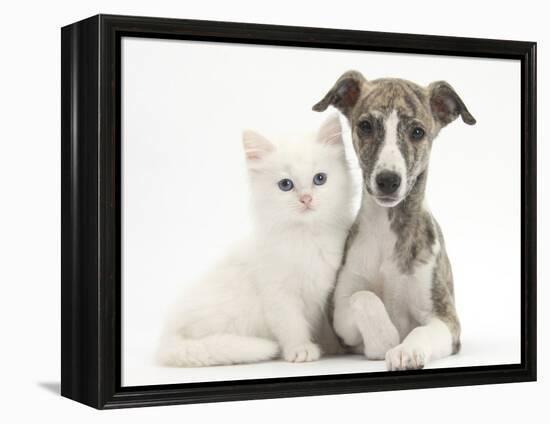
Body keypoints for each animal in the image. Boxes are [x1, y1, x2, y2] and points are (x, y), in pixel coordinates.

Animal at [157, 114, 356, 366]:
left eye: (320, 179)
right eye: (285, 185)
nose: (306, 199)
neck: (306, 236)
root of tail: (167, 338)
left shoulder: (324, 293)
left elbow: (324, 326)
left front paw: (332, 347)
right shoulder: (278, 294)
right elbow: (291, 324)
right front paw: (300, 349)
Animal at [314, 71, 478, 370]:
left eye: (418, 132)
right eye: (365, 126)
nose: (388, 180)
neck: (388, 230)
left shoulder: (447, 320)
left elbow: (420, 331)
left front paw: (406, 351)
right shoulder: (339, 314)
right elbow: (364, 298)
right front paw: (385, 340)